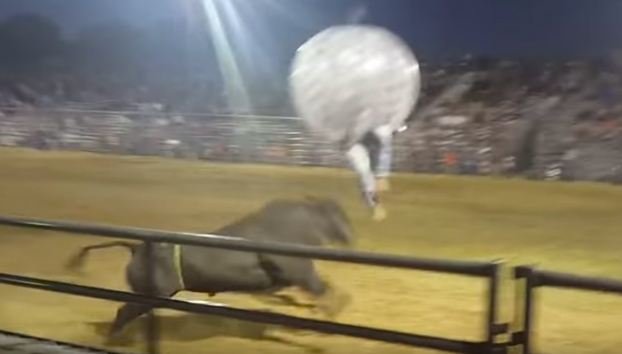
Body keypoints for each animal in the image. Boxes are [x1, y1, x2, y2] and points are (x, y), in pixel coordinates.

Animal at [65, 196, 356, 338]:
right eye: (339, 215)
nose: (350, 237)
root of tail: (137, 247)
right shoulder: (298, 270)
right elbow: (323, 288)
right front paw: (333, 310)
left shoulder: (287, 278)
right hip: (150, 294)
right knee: (124, 312)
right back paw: (115, 338)